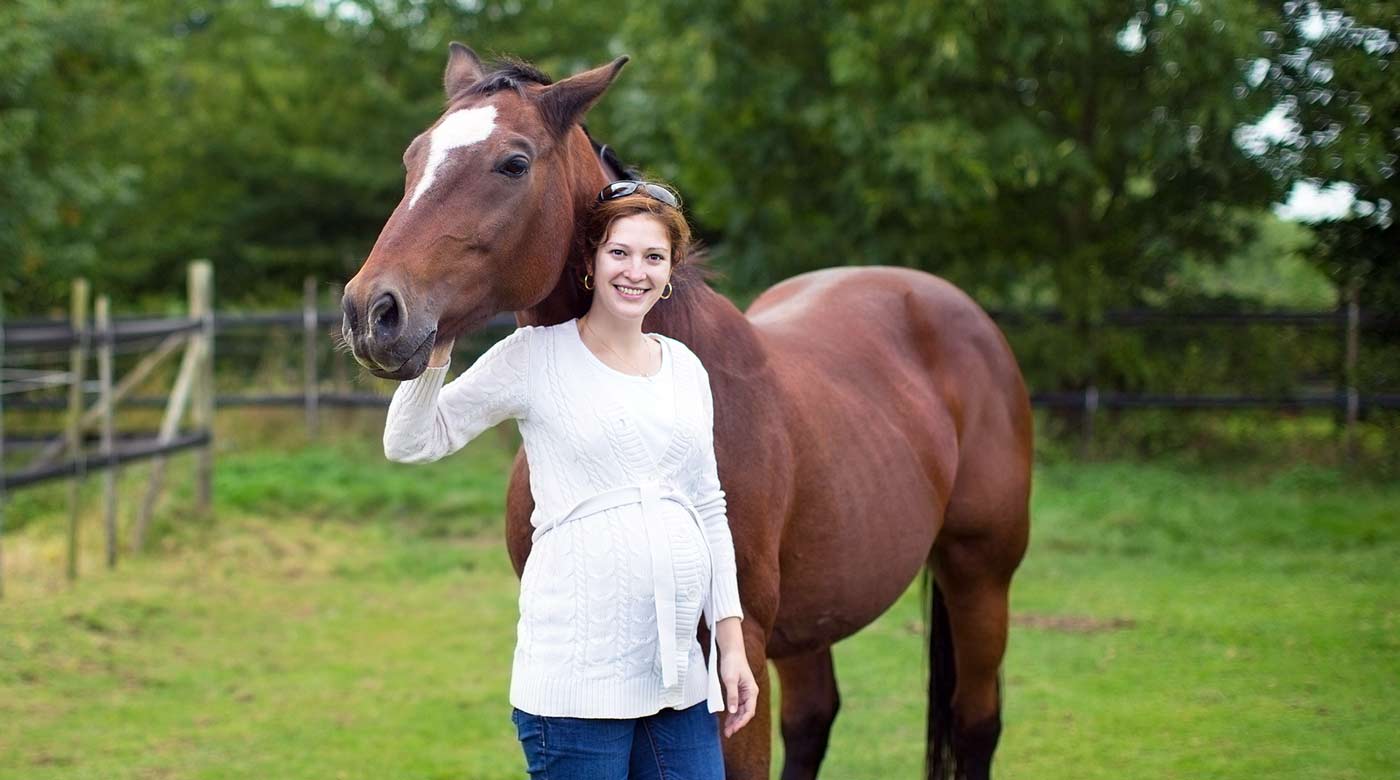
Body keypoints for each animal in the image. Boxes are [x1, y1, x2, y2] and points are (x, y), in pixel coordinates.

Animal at [341, 45, 1031, 780]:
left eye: (514, 163)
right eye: (414, 158)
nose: (372, 312)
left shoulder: (738, 649)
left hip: (979, 577)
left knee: (976, 722)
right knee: (814, 720)